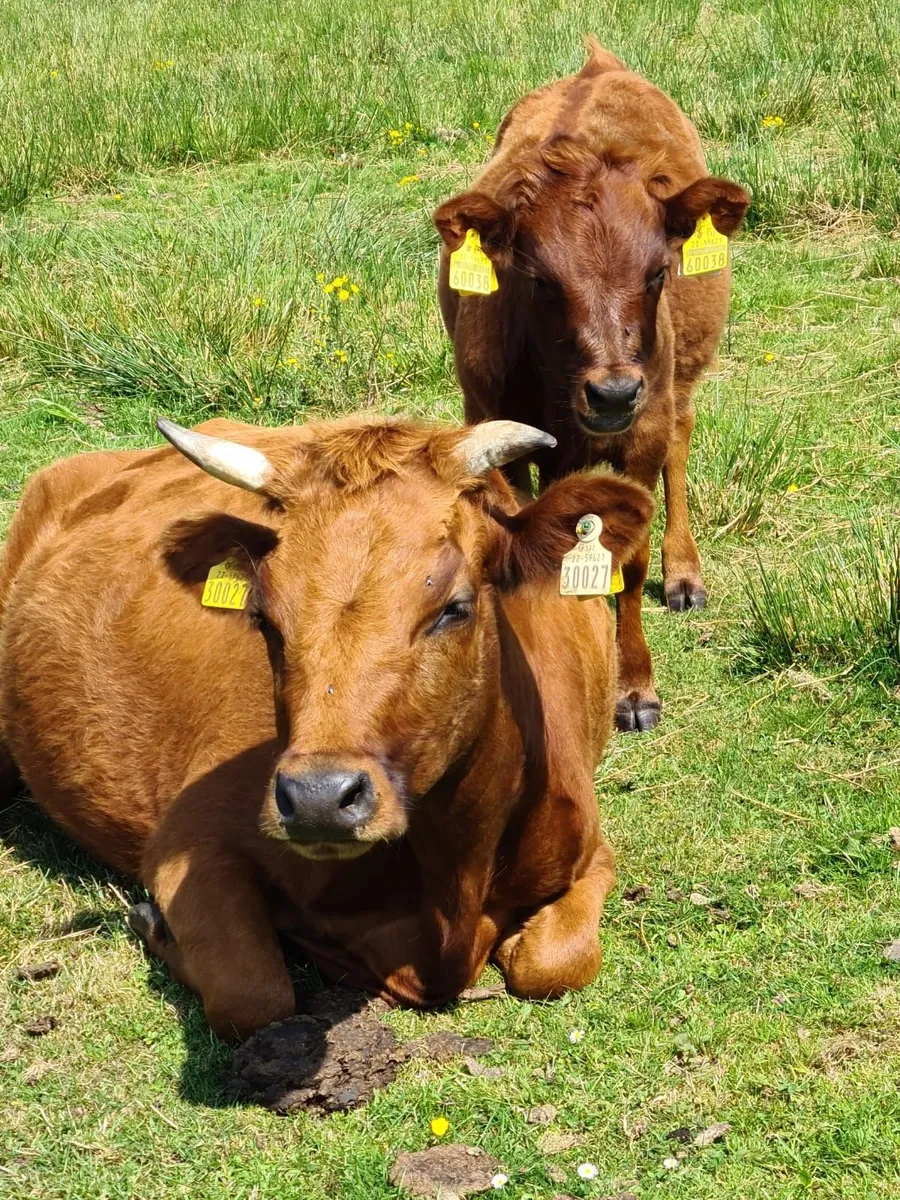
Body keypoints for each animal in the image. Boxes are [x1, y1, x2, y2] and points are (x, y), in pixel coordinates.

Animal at [0, 415, 653, 1039]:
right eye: (263, 619)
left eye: (454, 608)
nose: (317, 799)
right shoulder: (188, 841)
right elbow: (252, 995)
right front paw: (154, 924)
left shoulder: (591, 849)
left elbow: (555, 961)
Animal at [434, 38, 751, 733]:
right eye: (540, 279)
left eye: (658, 271)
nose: (612, 394)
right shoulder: (497, 429)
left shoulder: (642, 434)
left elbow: (627, 563)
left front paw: (634, 689)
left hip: (677, 387)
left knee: (682, 446)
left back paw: (684, 574)